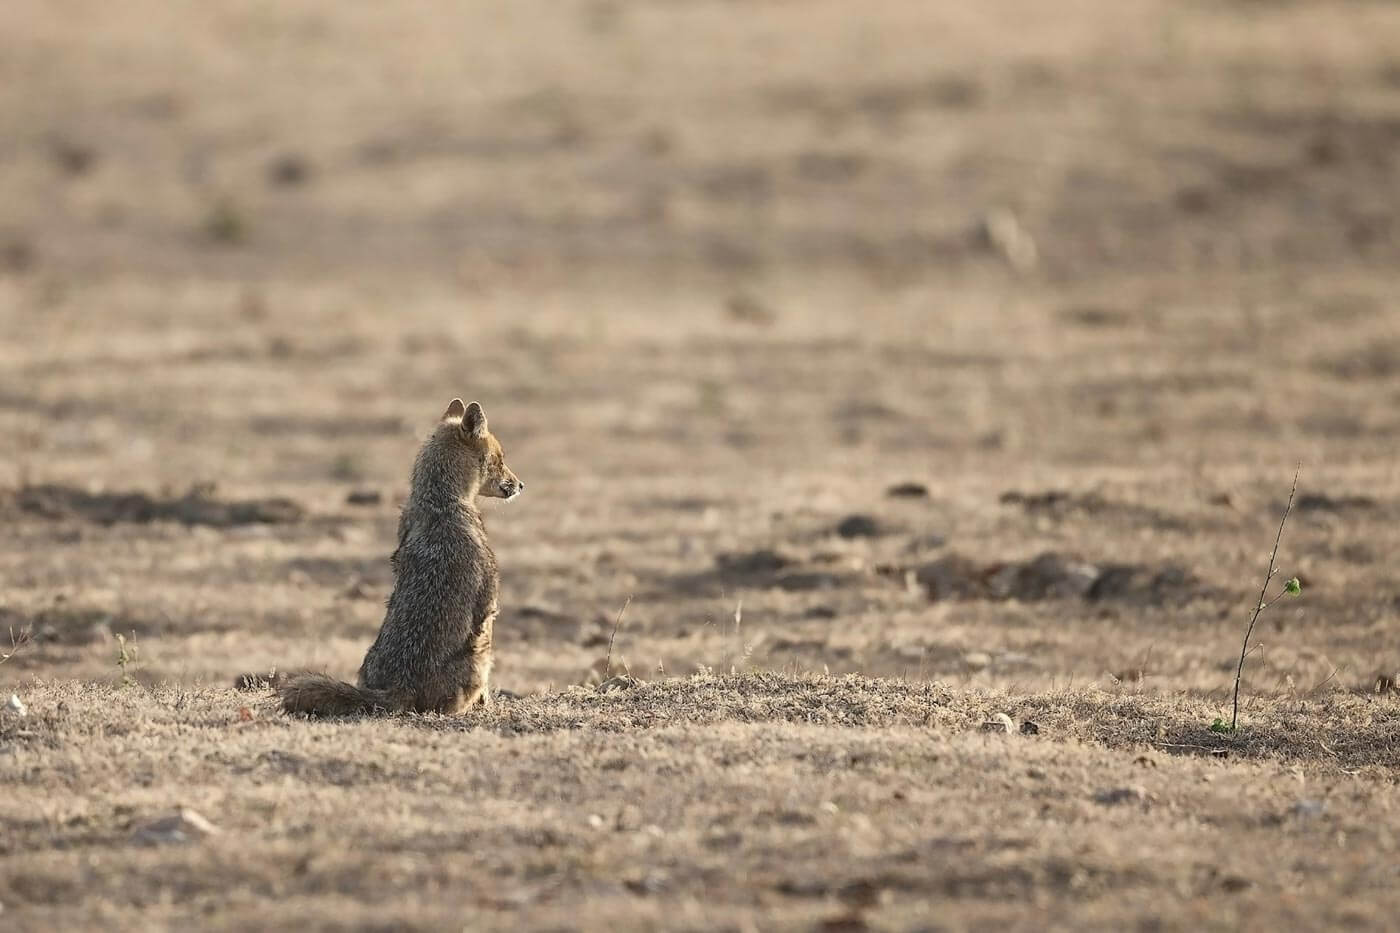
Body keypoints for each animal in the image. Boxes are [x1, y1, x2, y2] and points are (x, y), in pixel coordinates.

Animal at [275, 398, 522, 716]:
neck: (439, 500)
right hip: (478, 657)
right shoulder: (488, 602)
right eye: (500, 459)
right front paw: (486, 703)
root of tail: (399, 685)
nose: (520, 485)